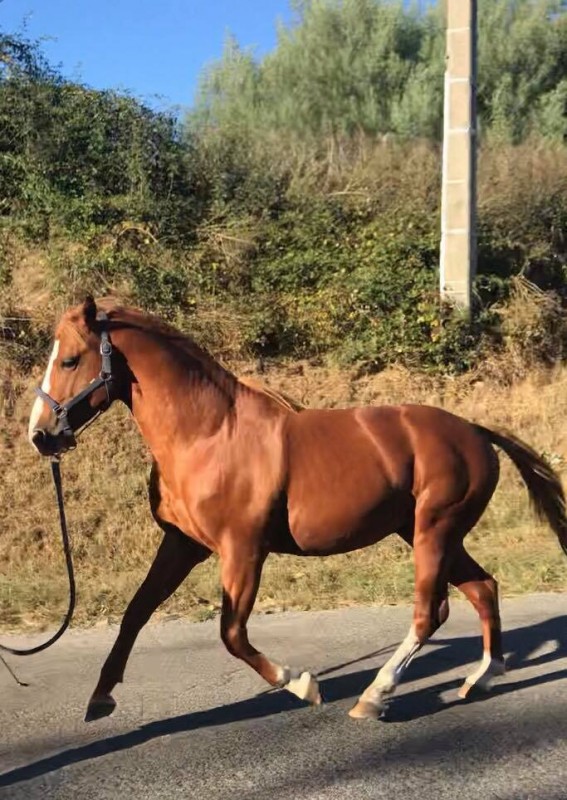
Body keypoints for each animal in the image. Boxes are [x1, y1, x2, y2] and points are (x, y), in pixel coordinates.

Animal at [28, 296, 567, 723]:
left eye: (71, 359)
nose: (40, 435)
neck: (208, 434)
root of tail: (476, 432)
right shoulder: (182, 545)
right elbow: (136, 613)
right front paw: (100, 698)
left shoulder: (243, 550)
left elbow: (232, 634)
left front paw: (302, 684)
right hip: (429, 533)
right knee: (483, 588)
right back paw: (481, 678)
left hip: (434, 532)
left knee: (429, 612)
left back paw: (375, 696)